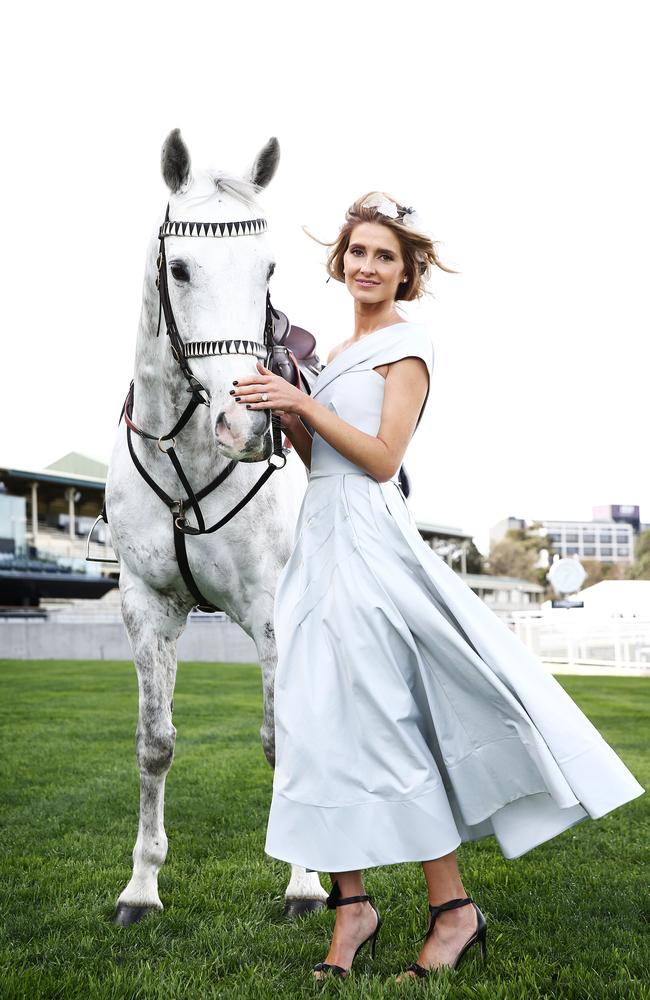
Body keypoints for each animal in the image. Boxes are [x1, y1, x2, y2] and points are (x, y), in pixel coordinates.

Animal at [107, 129, 330, 924]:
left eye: (268, 267)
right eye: (180, 267)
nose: (248, 422)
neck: (187, 454)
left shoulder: (271, 610)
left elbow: (281, 740)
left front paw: (305, 883)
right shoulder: (147, 607)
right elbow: (155, 743)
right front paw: (141, 887)